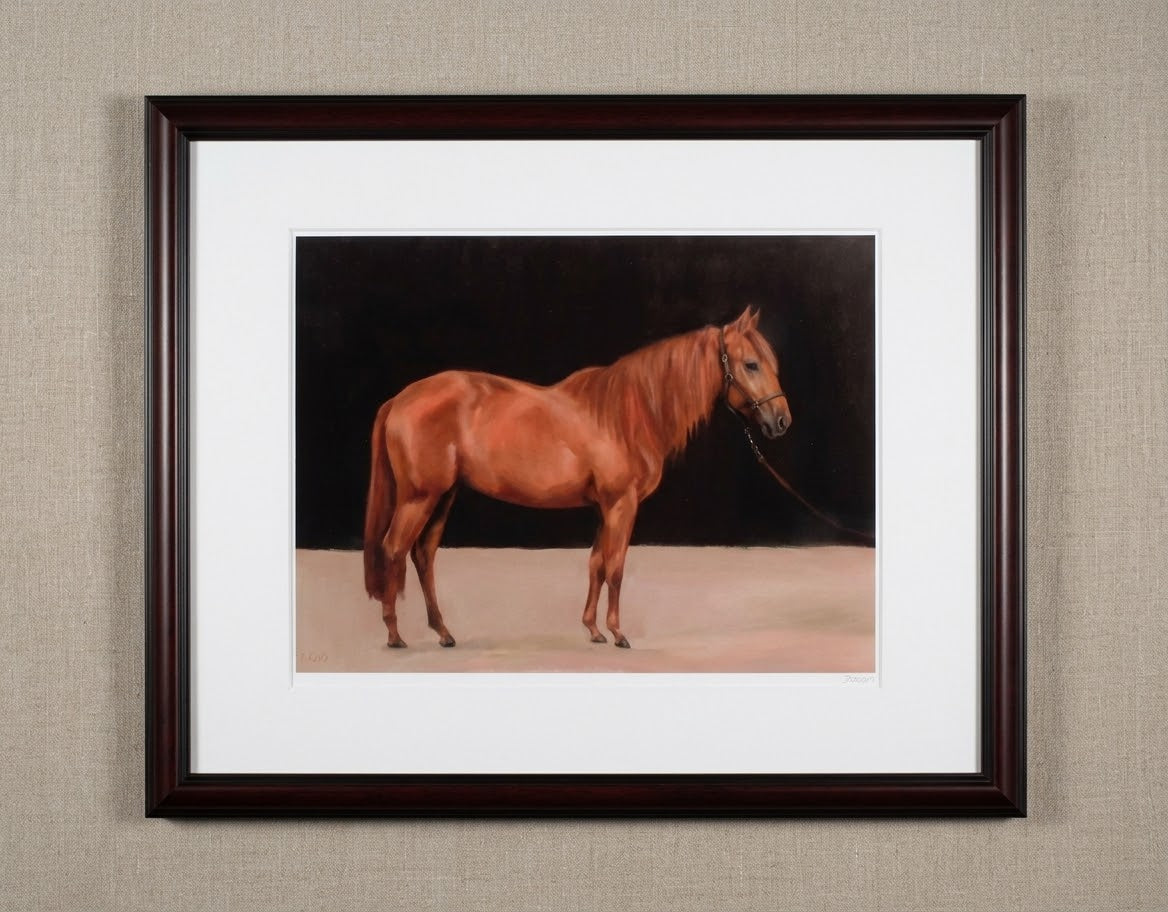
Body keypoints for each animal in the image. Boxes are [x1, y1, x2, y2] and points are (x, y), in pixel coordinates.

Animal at [362, 306, 792, 649]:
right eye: (751, 364)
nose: (782, 421)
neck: (627, 414)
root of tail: (399, 399)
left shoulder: (604, 507)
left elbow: (596, 563)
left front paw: (593, 629)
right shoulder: (622, 504)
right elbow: (615, 566)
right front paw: (617, 633)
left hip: (444, 495)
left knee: (423, 555)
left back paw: (442, 632)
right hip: (420, 496)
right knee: (394, 549)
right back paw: (395, 636)